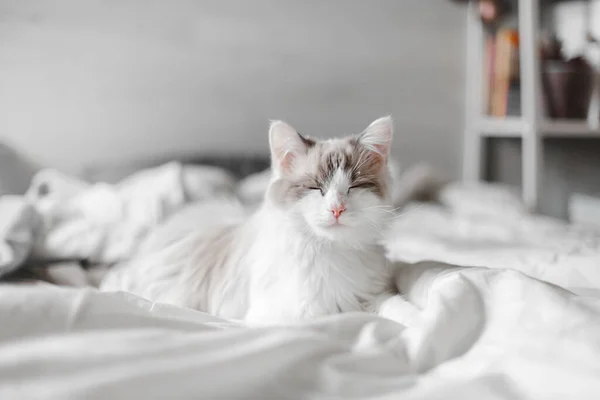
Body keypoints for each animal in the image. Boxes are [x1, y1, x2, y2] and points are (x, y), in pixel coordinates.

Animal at [102, 116, 404, 324]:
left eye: (354, 187)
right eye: (314, 188)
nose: (337, 209)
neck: (332, 251)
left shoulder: (372, 294)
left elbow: (396, 306)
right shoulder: (291, 310)